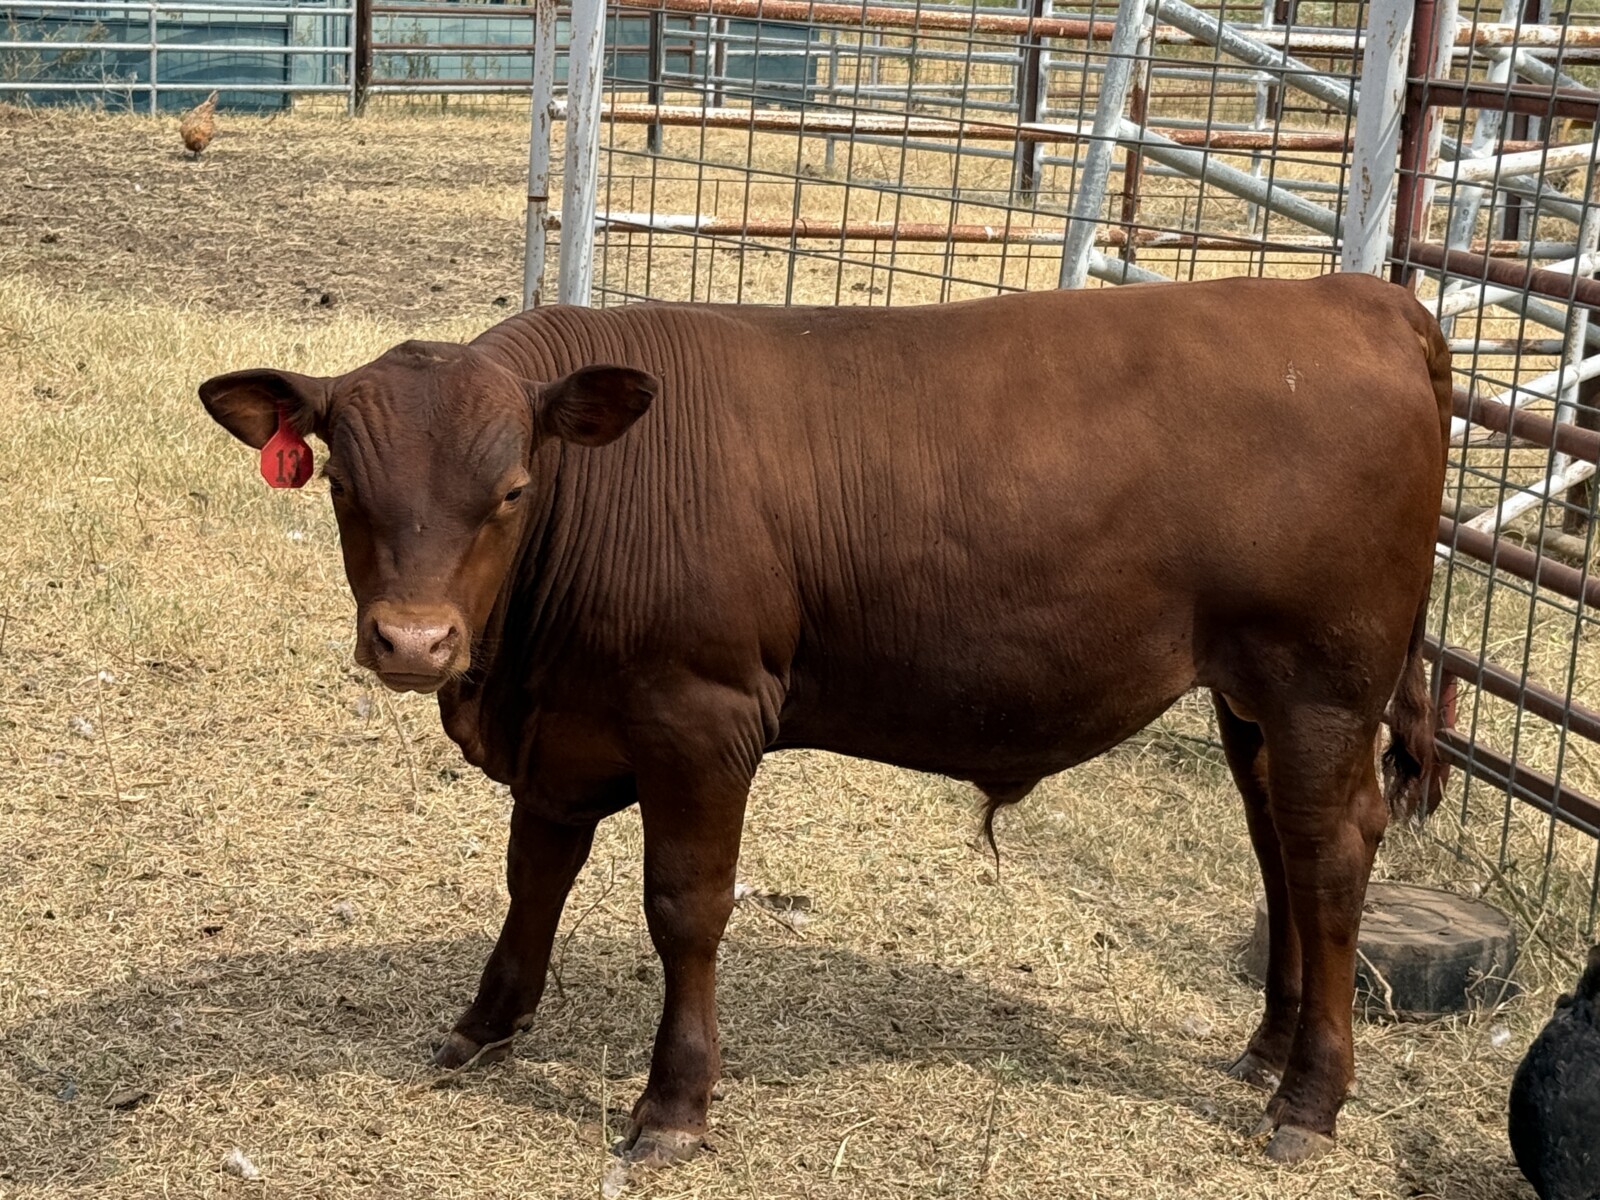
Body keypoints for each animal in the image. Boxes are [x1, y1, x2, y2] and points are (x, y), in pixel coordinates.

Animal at [199, 273, 1451, 1167]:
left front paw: (673, 1104)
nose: (415, 644)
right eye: (343, 487)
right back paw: (1267, 1046)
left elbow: (685, 909)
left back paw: (1308, 1099)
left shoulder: (701, 717)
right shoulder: (562, 727)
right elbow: (533, 877)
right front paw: (484, 1023)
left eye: (510, 490)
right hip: (1250, 697)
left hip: (1321, 683)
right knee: (1276, 845)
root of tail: (1361, 295)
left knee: (1329, 857)